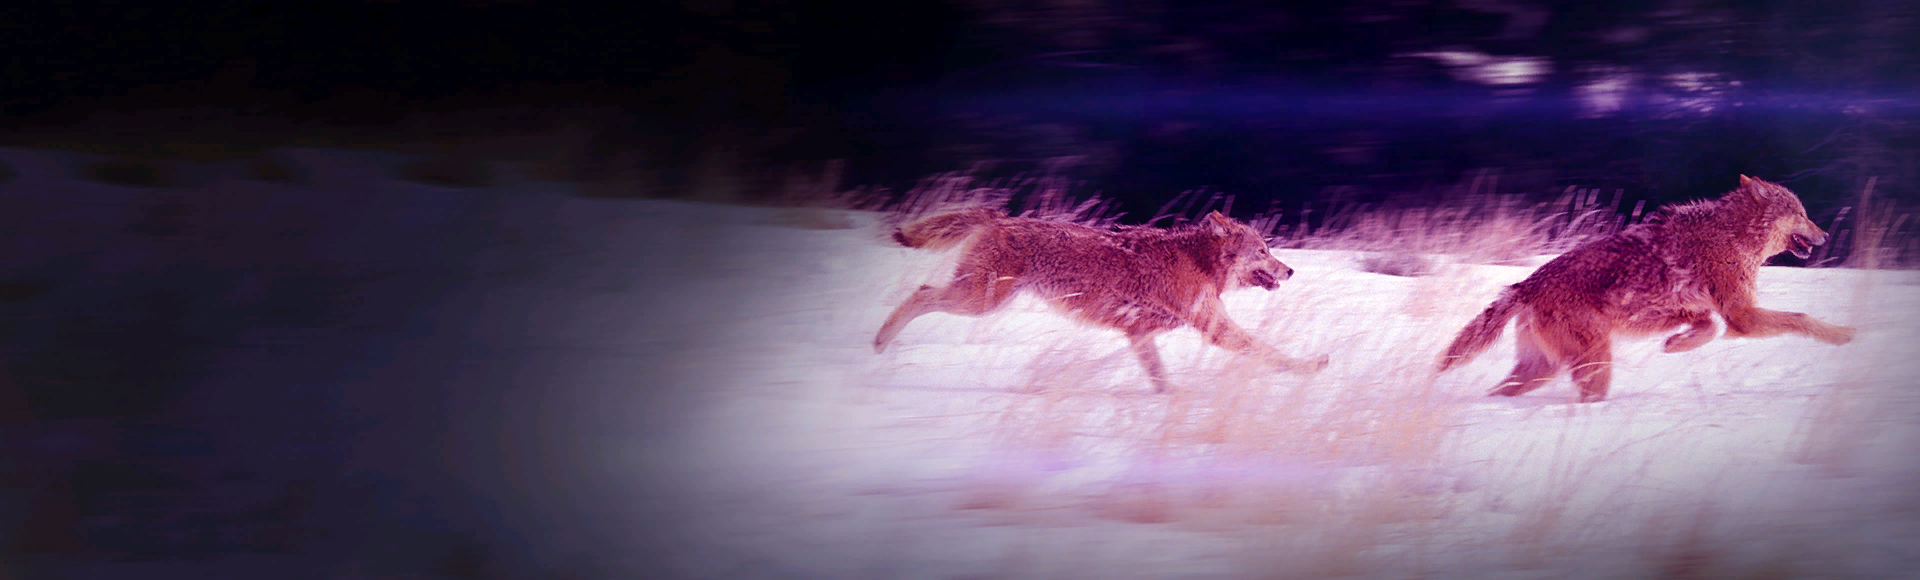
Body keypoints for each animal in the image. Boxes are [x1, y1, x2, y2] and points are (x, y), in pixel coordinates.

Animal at [874, 208, 1329, 393]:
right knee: (920, 294)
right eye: (1264, 251)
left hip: (981, 298)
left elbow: (1161, 380)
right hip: (979, 301)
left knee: (921, 293)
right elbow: (1270, 352)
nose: (1291, 270)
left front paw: (1172, 400)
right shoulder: (1215, 328)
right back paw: (880, 343)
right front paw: (1312, 366)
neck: (1198, 262)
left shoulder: (1139, 334)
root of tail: (998, 217)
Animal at [1437, 175, 1856, 403]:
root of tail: (1526, 284)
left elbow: (1708, 326)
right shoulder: (1742, 315)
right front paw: (1843, 335)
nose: (1825, 235)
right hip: (1593, 365)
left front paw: (1676, 344)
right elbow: (1802, 317)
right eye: (1801, 213)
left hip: (1542, 369)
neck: (1732, 235)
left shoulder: (1702, 312)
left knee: (1499, 393)